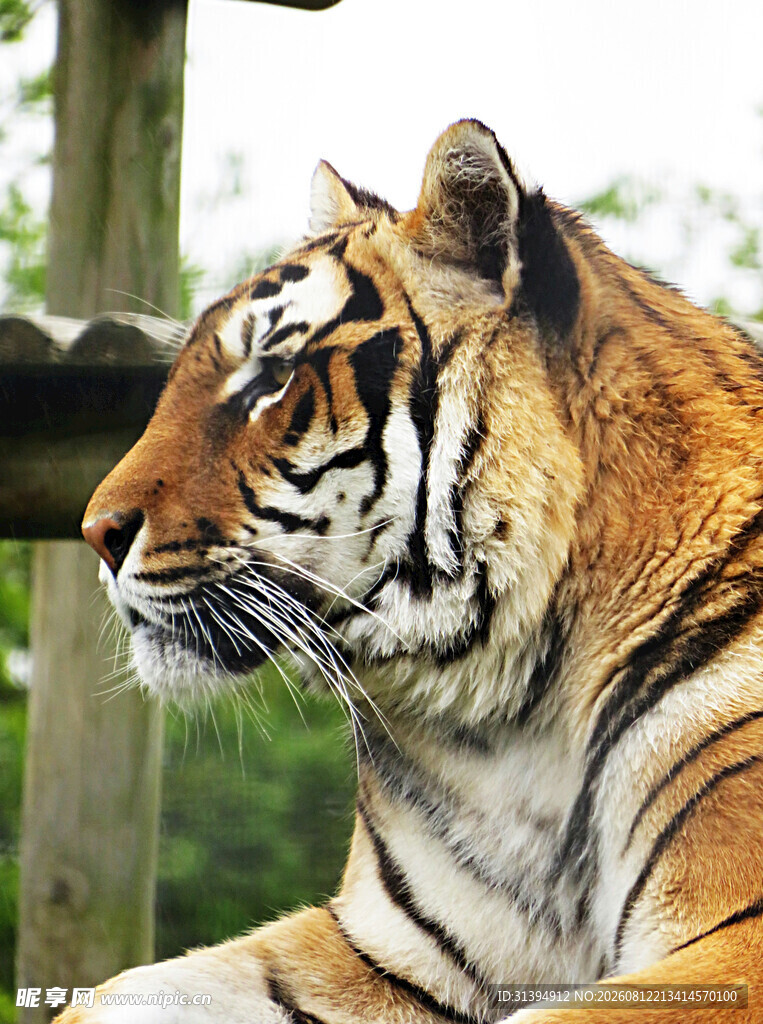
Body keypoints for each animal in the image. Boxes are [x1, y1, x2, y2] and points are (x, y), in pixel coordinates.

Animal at [59, 118, 763, 1023]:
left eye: (273, 377)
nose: (96, 533)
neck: (515, 712)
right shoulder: (389, 948)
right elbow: (118, 991)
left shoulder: (735, 941)